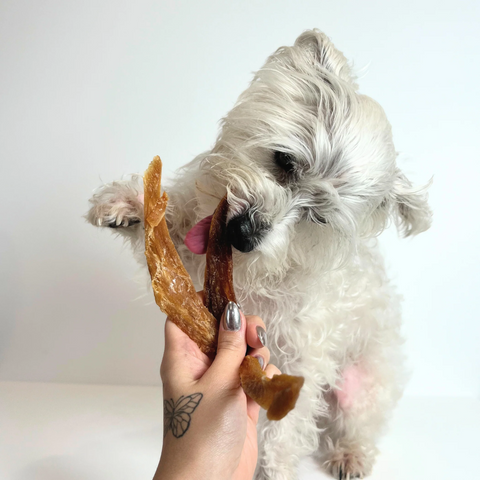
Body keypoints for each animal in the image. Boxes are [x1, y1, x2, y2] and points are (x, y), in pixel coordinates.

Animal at [85, 31, 432, 480]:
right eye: (284, 161)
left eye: (316, 217)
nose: (243, 233)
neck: (259, 269)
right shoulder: (193, 259)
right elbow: (170, 227)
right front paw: (128, 205)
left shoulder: (303, 358)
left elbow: (284, 434)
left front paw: (272, 471)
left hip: (363, 383)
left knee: (357, 422)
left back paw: (350, 453)